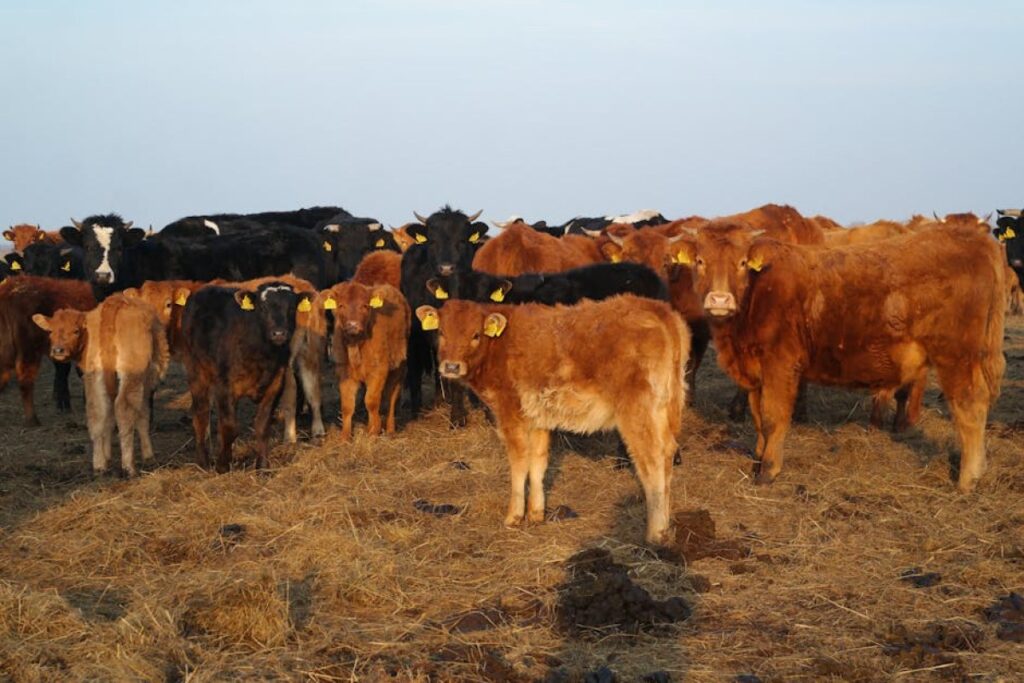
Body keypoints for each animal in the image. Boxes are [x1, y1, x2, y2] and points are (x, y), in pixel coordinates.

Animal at [32, 295, 168, 476]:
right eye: (50, 331)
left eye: (75, 331)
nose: (58, 350)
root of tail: (114, 304)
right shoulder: (147, 384)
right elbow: (143, 416)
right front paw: (149, 456)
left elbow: (108, 418)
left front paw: (107, 455)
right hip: (131, 376)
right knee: (123, 410)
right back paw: (129, 466)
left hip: (94, 377)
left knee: (96, 412)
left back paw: (99, 465)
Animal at [181, 281, 300, 471]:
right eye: (263, 307)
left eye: (292, 308)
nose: (279, 333)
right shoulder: (224, 387)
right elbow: (230, 427)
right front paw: (222, 465)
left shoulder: (275, 385)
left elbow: (262, 425)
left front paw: (263, 466)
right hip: (196, 372)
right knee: (201, 414)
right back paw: (203, 462)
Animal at [318, 282, 410, 440]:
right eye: (341, 305)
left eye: (365, 306)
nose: (353, 325)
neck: (356, 345)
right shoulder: (344, 373)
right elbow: (347, 405)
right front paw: (345, 436)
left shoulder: (378, 371)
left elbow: (371, 402)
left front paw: (373, 432)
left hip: (399, 369)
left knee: (391, 399)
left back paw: (390, 429)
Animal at [415, 296, 688, 545]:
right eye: (441, 332)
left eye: (475, 335)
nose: (451, 367)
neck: (500, 346)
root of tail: (657, 308)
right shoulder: (538, 419)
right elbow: (538, 463)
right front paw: (536, 513)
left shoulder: (510, 415)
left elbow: (519, 463)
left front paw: (514, 516)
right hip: (663, 410)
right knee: (667, 455)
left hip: (639, 412)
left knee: (652, 461)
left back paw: (655, 533)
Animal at [672, 221, 1006, 492]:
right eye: (700, 261)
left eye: (742, 262)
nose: (719, 300)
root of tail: (973, 239)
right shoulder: (755, 374)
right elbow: (758, 419)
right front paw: (757, 458)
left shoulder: (780, 366)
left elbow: (773, 419)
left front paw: (768, 471)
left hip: (957, 357)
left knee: (970, 408)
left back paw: (968, 478)